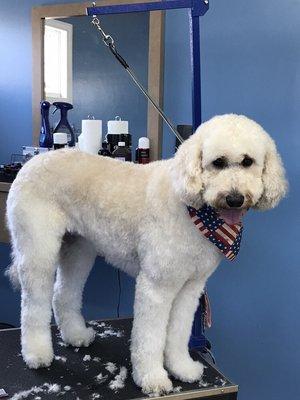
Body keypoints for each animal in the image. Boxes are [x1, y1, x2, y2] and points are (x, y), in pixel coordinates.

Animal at [5, 115, 286, 394]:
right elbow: (150, 338)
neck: (192, 209)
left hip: (79, 249)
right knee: (33, 304)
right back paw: (37, 353)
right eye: (218, 162)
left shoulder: (190, 288)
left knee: (63, 294)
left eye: (248, 161)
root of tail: (32, 162)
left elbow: (178, 333)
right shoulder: (156, 287)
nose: (235, 198)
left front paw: (181, 368)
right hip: (38, 250)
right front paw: (153, 378)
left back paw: (76, 335)